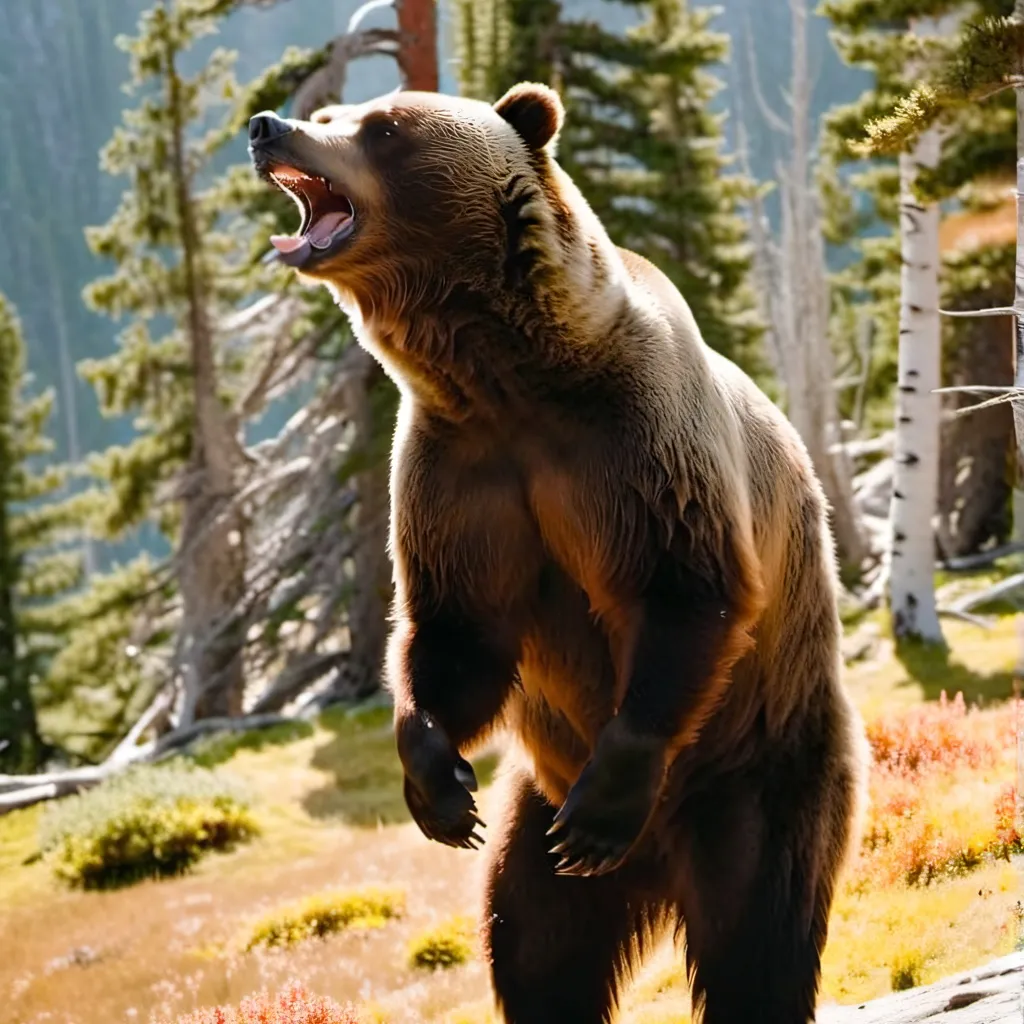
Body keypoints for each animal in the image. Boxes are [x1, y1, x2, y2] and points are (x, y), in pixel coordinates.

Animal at [248, 82, 868, 1024]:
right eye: (331, 111)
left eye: (382, 125)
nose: (267, 126)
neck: (507, 374)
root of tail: (657, 870)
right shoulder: (459, 474)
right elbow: (457, 632)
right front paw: (436, 783)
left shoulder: (635, 444)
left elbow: (684, 589)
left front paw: (606, 799)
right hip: (535, 813)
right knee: (535, 945)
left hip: (760, 763)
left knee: (758, 931)